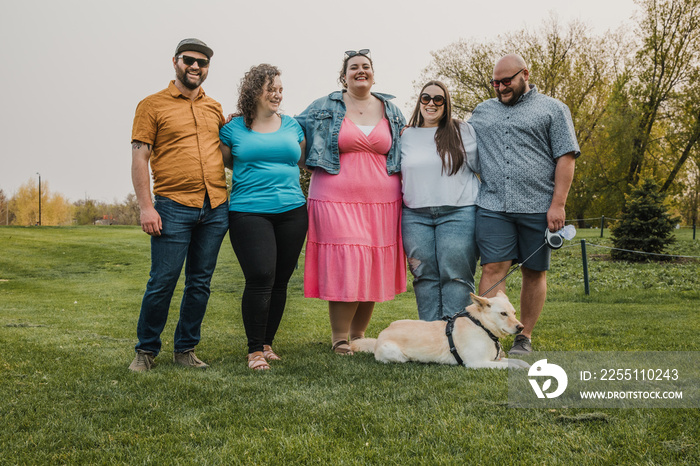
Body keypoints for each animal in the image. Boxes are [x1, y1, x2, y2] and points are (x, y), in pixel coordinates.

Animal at [350, 292, 532, 368]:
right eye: (503, 313)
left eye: (514, 313)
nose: (521, 327)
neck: (481, 325)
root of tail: (381, 334)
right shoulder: (477, 363)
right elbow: (511, 366)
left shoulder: (494, 359)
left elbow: (518, 362)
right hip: (395, 353)